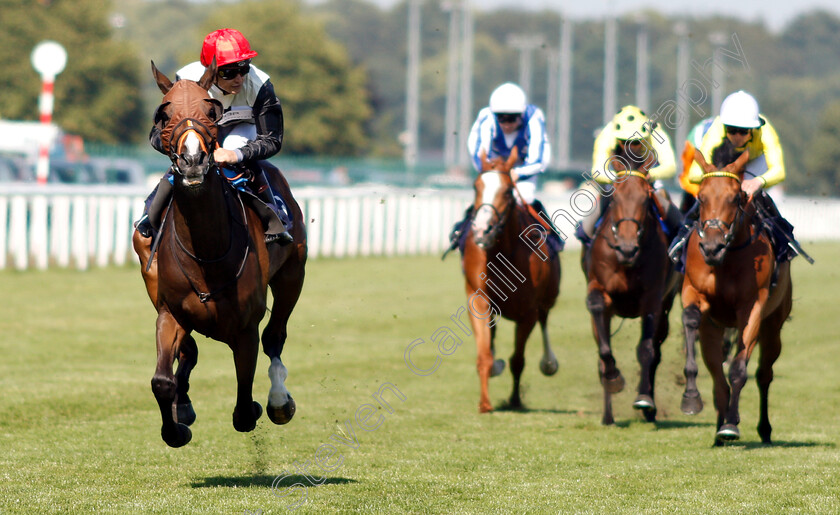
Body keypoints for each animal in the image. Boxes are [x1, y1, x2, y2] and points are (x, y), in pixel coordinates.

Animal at [130, 60, 304, 448]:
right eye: (164, 114)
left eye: (211, 112)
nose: (193, 160)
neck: (205, 252)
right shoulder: (169, 313)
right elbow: (162, 380)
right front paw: (176, 426)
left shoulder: (246, 326)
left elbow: (243, 407)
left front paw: (258, 405)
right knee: (190, 353)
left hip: (292, 275)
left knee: (275, 337)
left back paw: (278, 400)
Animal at [462, 147, 560, 414]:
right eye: (475, 186)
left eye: (507, 190)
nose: (482, 230)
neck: (502, 253)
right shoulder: (478, 300)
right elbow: (484, 354)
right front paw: (485, 403)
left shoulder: (528, 312)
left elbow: (518, 360)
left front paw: (515, 399)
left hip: (548, 299)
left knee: (545, 320)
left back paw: (549, 362)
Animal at [584, 152, 684, 424]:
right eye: (615, 197)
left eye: (645, 198)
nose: (627, 248)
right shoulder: (599, 288)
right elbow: (603, 344)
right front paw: (613, 379)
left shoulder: (652, 299)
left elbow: (646, 350)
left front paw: (644, 399)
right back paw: (608, 412)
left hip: (667, 306)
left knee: (656, 351)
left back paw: (650, 408)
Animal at [680, 147, 792, 446]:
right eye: (701, 197)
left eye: (735, 198)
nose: (711, 247)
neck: (726, 261)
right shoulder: (693, 291)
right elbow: (691, 318)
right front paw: (691, 398)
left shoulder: (752, 307)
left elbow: (739, 369)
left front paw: (731, 424)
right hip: (713, 329)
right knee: (718, 378)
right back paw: (719, 426)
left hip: (774, 324)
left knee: (764, 374)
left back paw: (760, 429)